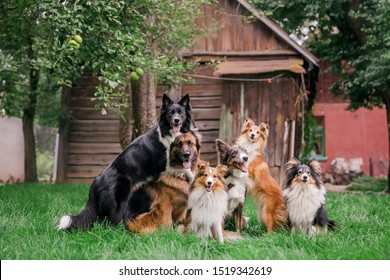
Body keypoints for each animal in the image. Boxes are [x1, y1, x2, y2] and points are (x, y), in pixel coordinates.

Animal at [58, 94, 195, 230]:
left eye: (181, 113)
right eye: (170, 113)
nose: (176, 120)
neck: (170, 133)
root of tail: (95, 183)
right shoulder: (164, 163)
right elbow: (183, 168)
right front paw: (193, 176)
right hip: (119, 203)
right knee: (110, 225)